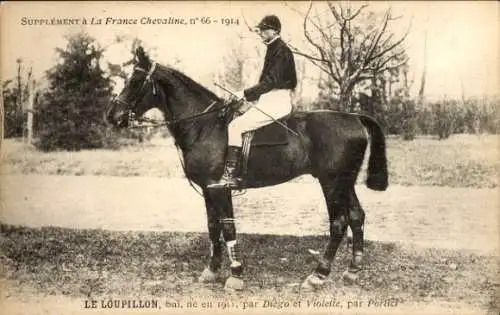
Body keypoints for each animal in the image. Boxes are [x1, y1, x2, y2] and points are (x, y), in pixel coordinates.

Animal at [104, 48, 386, 292]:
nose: (111, 115)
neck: (204, 124)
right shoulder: (209, 188)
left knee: (339, 223)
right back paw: (352, 271)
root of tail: (354, 117)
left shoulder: (219, 188)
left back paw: (319, 275)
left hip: (331, 183)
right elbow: (213, 227)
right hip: (345, 183)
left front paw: (236, 275)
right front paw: (212, 270)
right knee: (356, 216)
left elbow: (228, 228)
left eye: (135, 80)